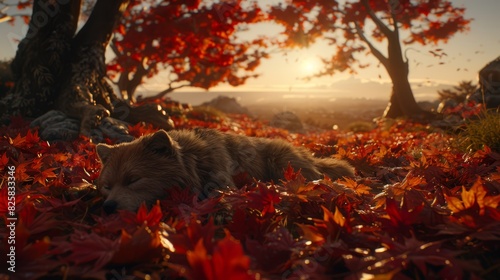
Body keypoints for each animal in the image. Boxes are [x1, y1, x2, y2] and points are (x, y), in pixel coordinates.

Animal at [95, 129, 354, 212]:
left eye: (133, 179)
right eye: (106, 186)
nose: (108, 207)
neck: (195, 162)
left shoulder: (222, 183)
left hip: (282, 161)